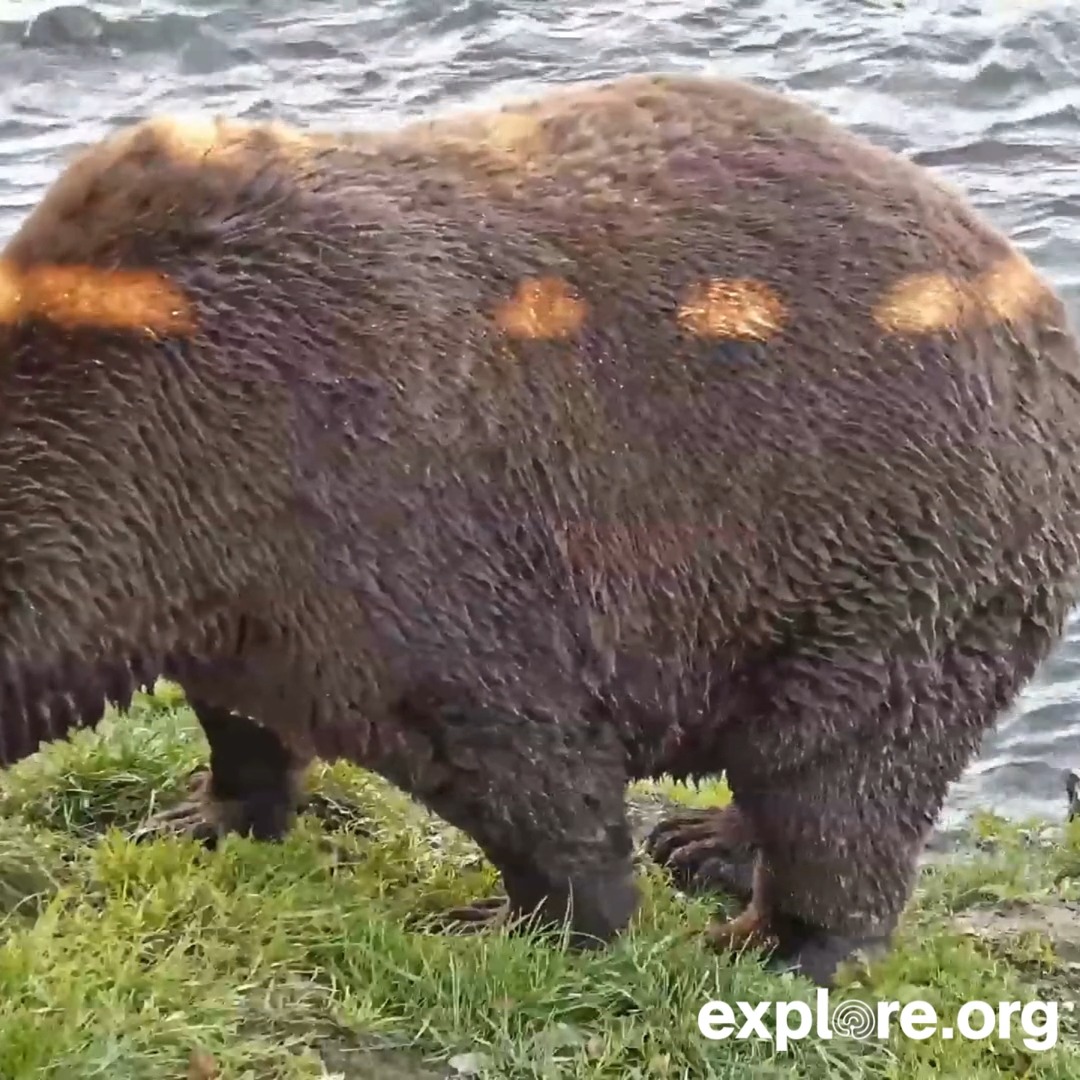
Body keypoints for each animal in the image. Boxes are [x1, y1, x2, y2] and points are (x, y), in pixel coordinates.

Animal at [0, 70, 1078, 988]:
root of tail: (1035, 300)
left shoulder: (374, 511)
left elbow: (509, 745)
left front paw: (522, 921)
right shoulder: (219, 577)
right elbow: (239, 709)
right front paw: (203, 811)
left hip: (889, 538)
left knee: (839, 765)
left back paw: (782, 937)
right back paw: (709, 841)